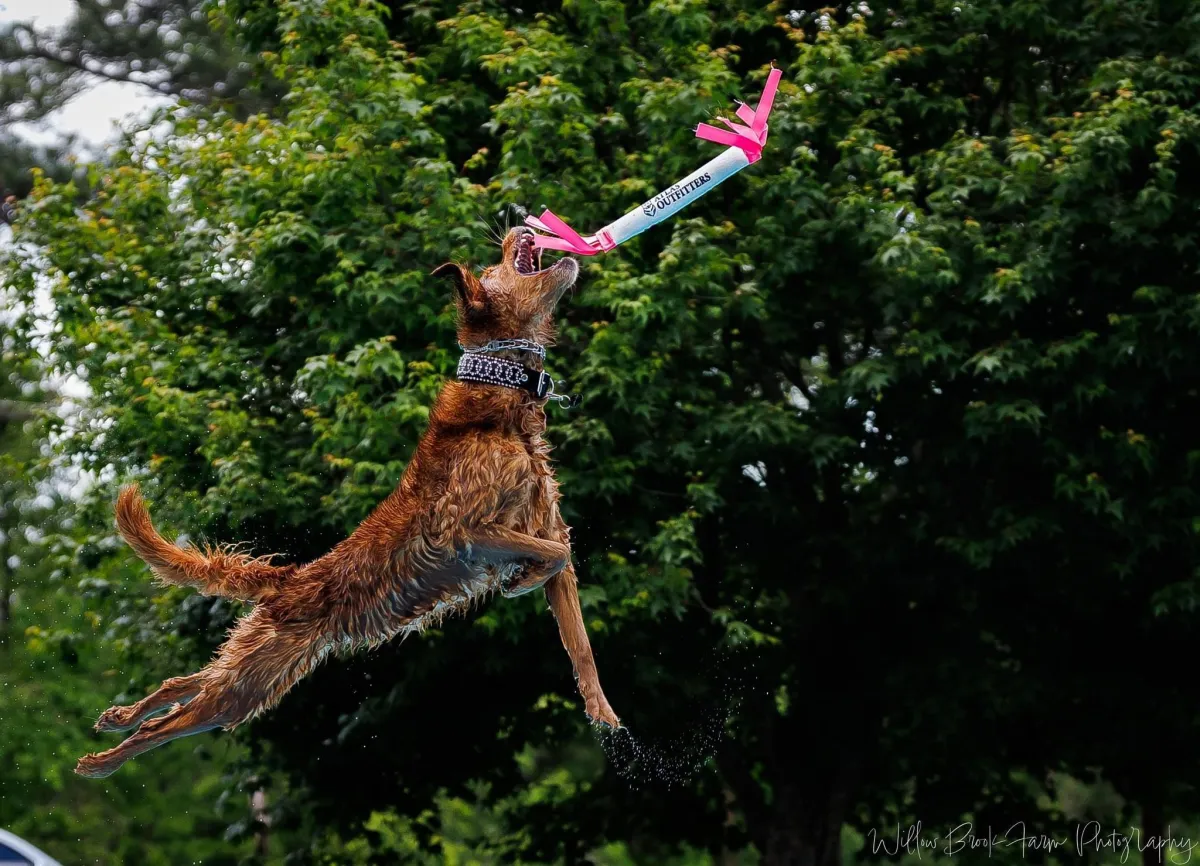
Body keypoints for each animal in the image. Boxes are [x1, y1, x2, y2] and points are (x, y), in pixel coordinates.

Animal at [76, 224, 624, 777]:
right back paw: (103, 760)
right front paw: (522, 579)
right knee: (168, 723)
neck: (504, 406)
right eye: (496, 264)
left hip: (255, 673)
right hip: (249, 683)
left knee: (183, 684)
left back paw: (121, 716)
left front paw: (605, 715)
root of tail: (289, 580)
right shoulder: (463, 530)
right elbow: (556, 556)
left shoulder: (544, 527)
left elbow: (579, 635)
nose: (518, 227)